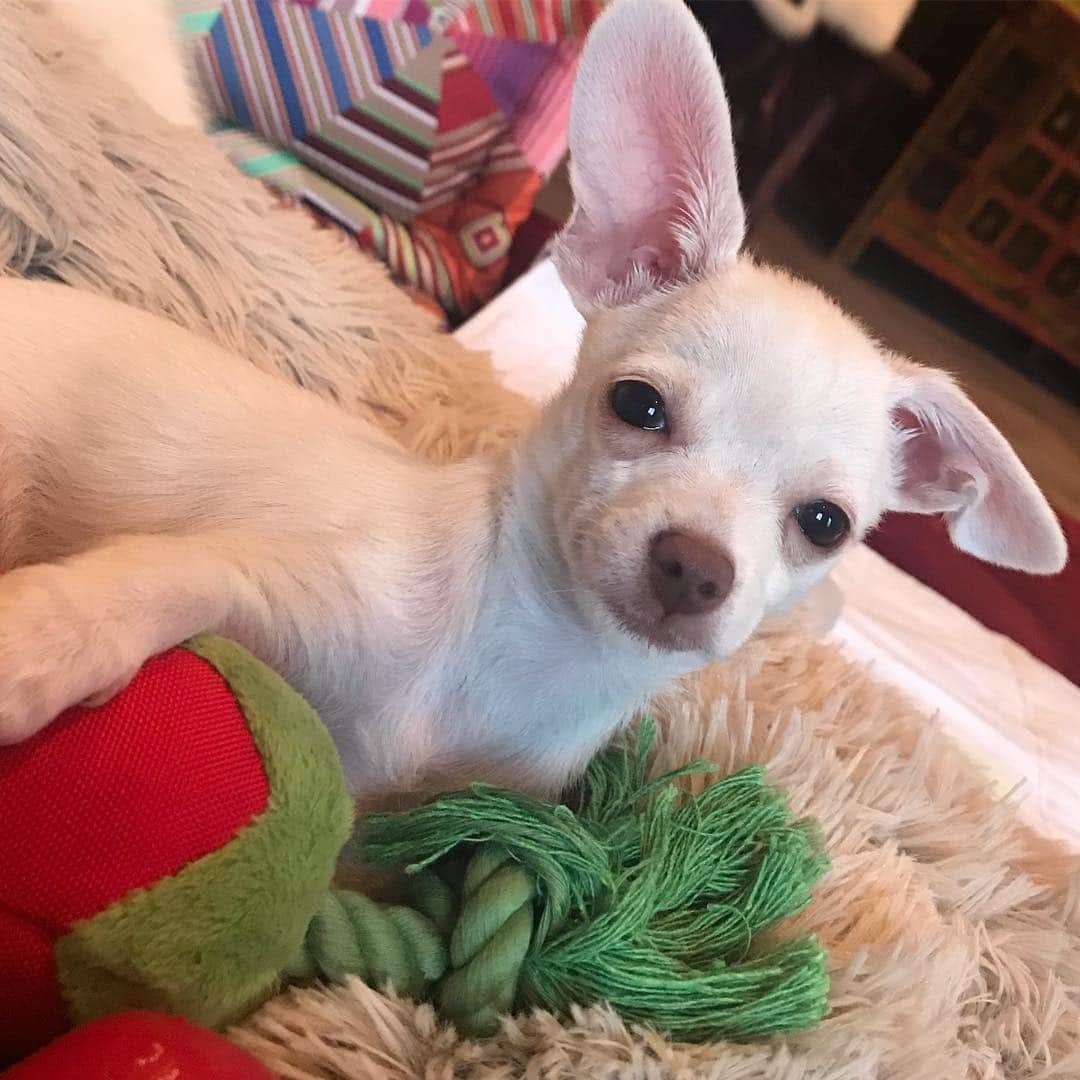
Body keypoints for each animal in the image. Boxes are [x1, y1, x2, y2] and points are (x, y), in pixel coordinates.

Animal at [0, 0, 1062, 794]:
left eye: (825, 523)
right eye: (637, 406)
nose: (695, 566)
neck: (531, 660)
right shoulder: (268, 585)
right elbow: (147, 582)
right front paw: (37, 639)